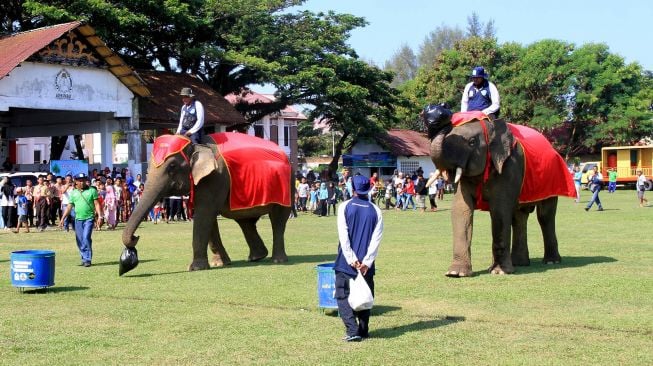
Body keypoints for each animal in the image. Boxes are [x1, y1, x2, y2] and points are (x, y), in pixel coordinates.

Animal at [121, 132, 294, 274]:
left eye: (172, 166)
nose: (135, 237)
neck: (196, 146)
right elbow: (208, 219)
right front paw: (219, 264)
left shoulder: (215, 177)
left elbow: (204, 215)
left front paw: (195, 268)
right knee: (245, 222)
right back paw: (256, 257)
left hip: (287, 186)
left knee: (278, 220)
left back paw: (277, 260)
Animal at [420, 103, 572, 278]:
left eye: (472, 142)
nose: (437, 110)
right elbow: (461, 210)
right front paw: (455, 273)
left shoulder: (510, 165)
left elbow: (499, 210)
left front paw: (499, 272)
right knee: (519, 217)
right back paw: (519, 263)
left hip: (553, 179)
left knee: (545, 216)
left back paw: (551, 261)